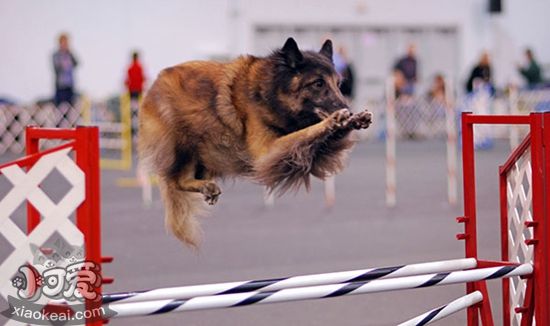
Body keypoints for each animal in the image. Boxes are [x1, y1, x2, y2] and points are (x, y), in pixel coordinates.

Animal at [138, 37, 374, 247]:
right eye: (318, 83)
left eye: (339, 84)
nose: (347, 107)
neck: (270, 93)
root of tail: (153, 86)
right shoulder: (268, 152)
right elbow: (306, 133)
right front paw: (334, 120)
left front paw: (353, 119)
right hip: (184, 142)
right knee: (173, 180)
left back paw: (206, 186)